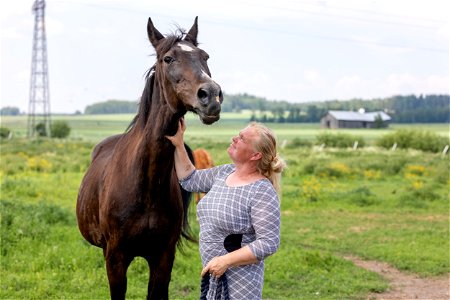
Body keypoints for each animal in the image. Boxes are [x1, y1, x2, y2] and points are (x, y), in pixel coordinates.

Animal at [78, 17, 225, 300]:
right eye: (168, 58)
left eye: (205, 56)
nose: (211, 96)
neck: (146, 184)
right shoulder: (115, 259)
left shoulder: (162, 258)